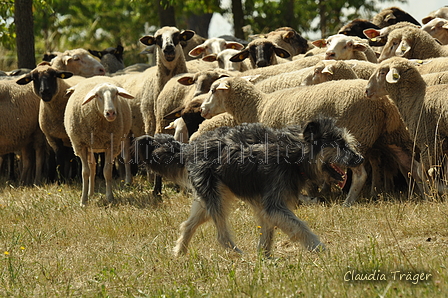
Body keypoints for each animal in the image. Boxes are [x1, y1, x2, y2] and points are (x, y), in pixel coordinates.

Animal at [64, 78, 133, 206]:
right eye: (97, 95)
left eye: (116, 94)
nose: (110, 113)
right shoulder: (81, 145)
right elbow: (85, 172)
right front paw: (83, 201)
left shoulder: (111, 145)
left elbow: (107, 172)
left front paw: (110, 198)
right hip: (90, 145)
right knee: (92, 167)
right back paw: (90, 193)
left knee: (96, 165)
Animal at [135, 117, 362, 258]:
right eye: (339, 144)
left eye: (346, 143)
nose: (359, 158)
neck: (295, 154)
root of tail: (189, 147)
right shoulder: (274, 204)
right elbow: (300, 227)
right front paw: (319, 248)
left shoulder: (267, 206)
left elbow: (268, 232)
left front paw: (265, 257)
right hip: (217, 198)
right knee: (222, 236)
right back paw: (238, 254)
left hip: (211, 198)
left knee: (188, 225)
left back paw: (179, 252)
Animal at [200, 76, 424, 205]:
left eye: (212, 90)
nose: (202, 110)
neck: (258, 106)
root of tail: (384, 103)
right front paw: (315, 194)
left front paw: (309, 197)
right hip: (392, 136)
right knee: (413, 165)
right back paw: (425, 194)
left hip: (357, 135)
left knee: (361, 174)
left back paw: (348, 202)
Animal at [366, 56, 448, 194]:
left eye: (382, 72)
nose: (366, 90)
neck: (415, 99)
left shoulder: (429, 143)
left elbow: (423, 173)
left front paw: (433, 194)